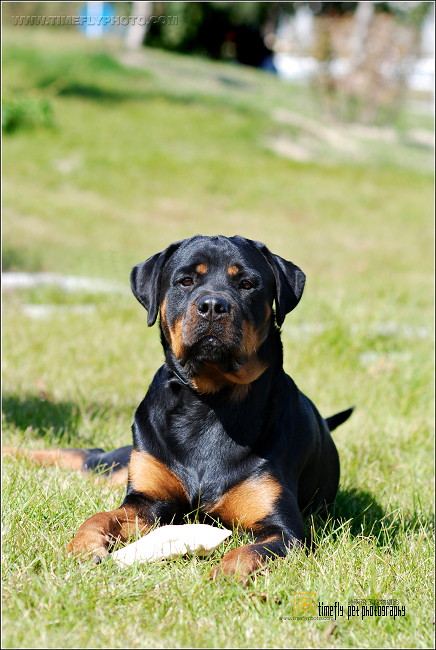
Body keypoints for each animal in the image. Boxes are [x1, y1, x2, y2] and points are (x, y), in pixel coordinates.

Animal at [9, 234, 354, 576]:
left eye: (247, 284)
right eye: (186, 281)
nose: (213, 306)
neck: (209, 404)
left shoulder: (284, 529)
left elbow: (245, 555)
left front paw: (221, 578)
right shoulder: (147, 501)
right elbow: (99, 517)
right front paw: (83, 548)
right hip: (118, 465)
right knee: (83, 455)